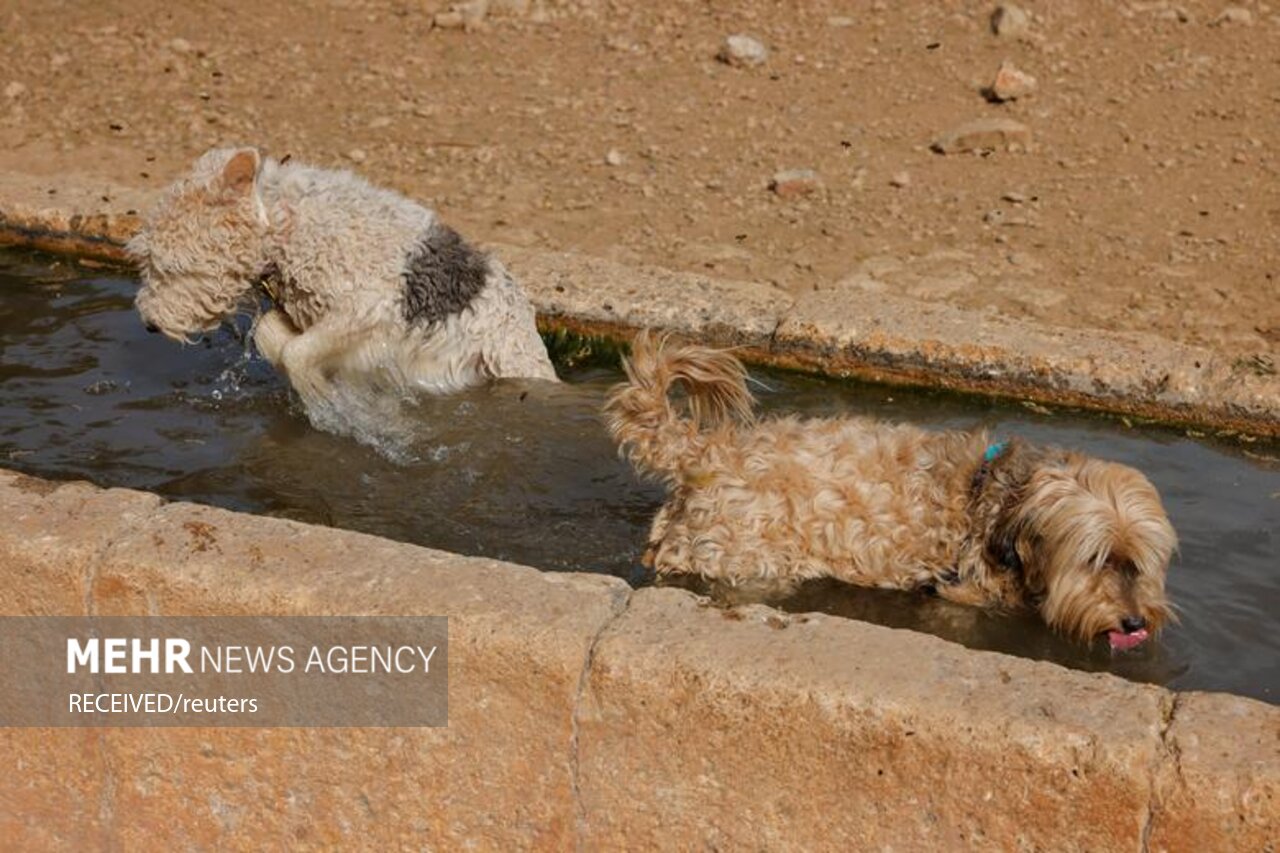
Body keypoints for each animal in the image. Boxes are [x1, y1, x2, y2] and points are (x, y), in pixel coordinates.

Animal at [609, 330, 1177, 645]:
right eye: (1096, 559)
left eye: (1140, 563)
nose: (1133, 622)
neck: (1002, 506)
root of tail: (707, 452)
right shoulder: (962, 591)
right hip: (746, 556)